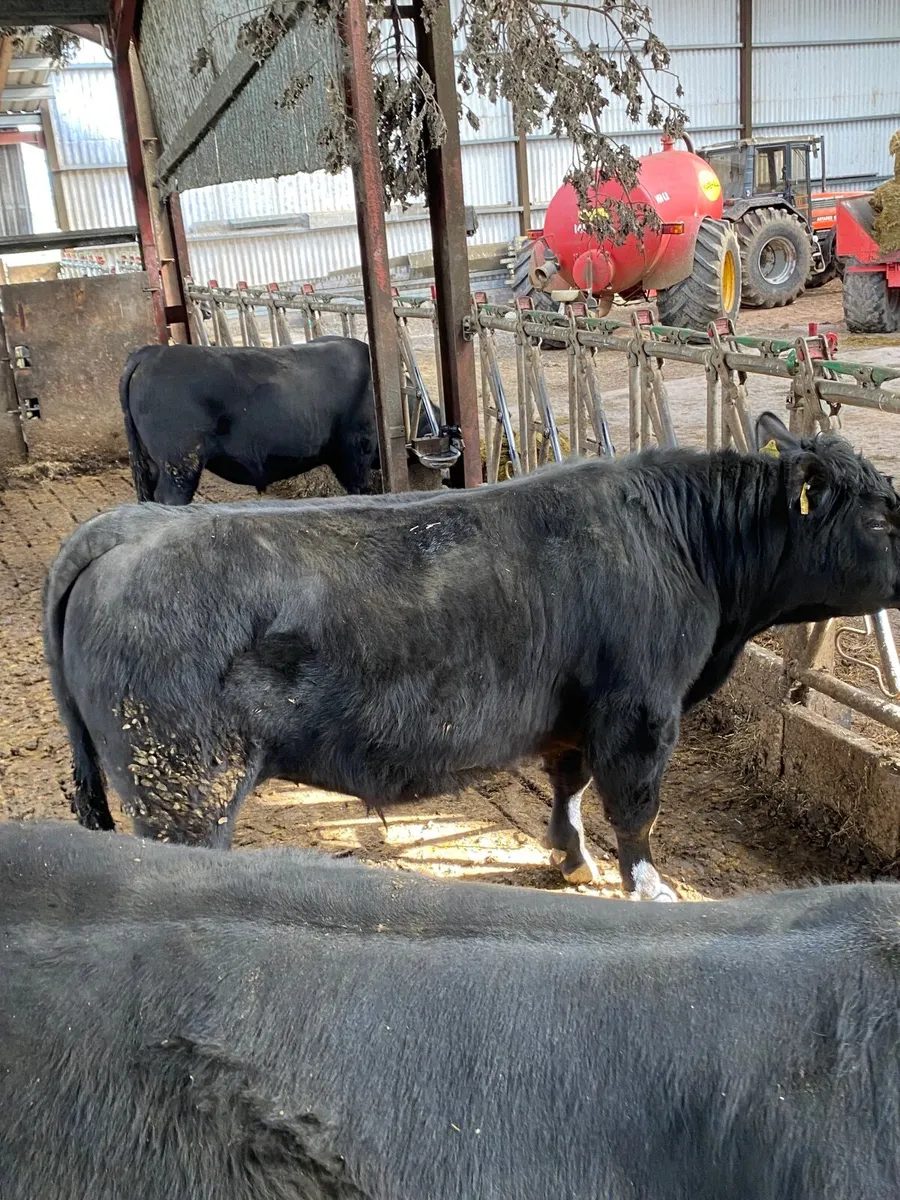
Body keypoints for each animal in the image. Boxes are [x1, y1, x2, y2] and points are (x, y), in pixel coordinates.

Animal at [43, 412, 900, 901]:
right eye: (882, 518)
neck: (685, 542)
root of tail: (133, 525)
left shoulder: (575, 711)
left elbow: (569, 785)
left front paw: (571, 858)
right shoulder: (641, 709)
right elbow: (635, 806)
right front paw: (645, 886)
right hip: (181, 783)